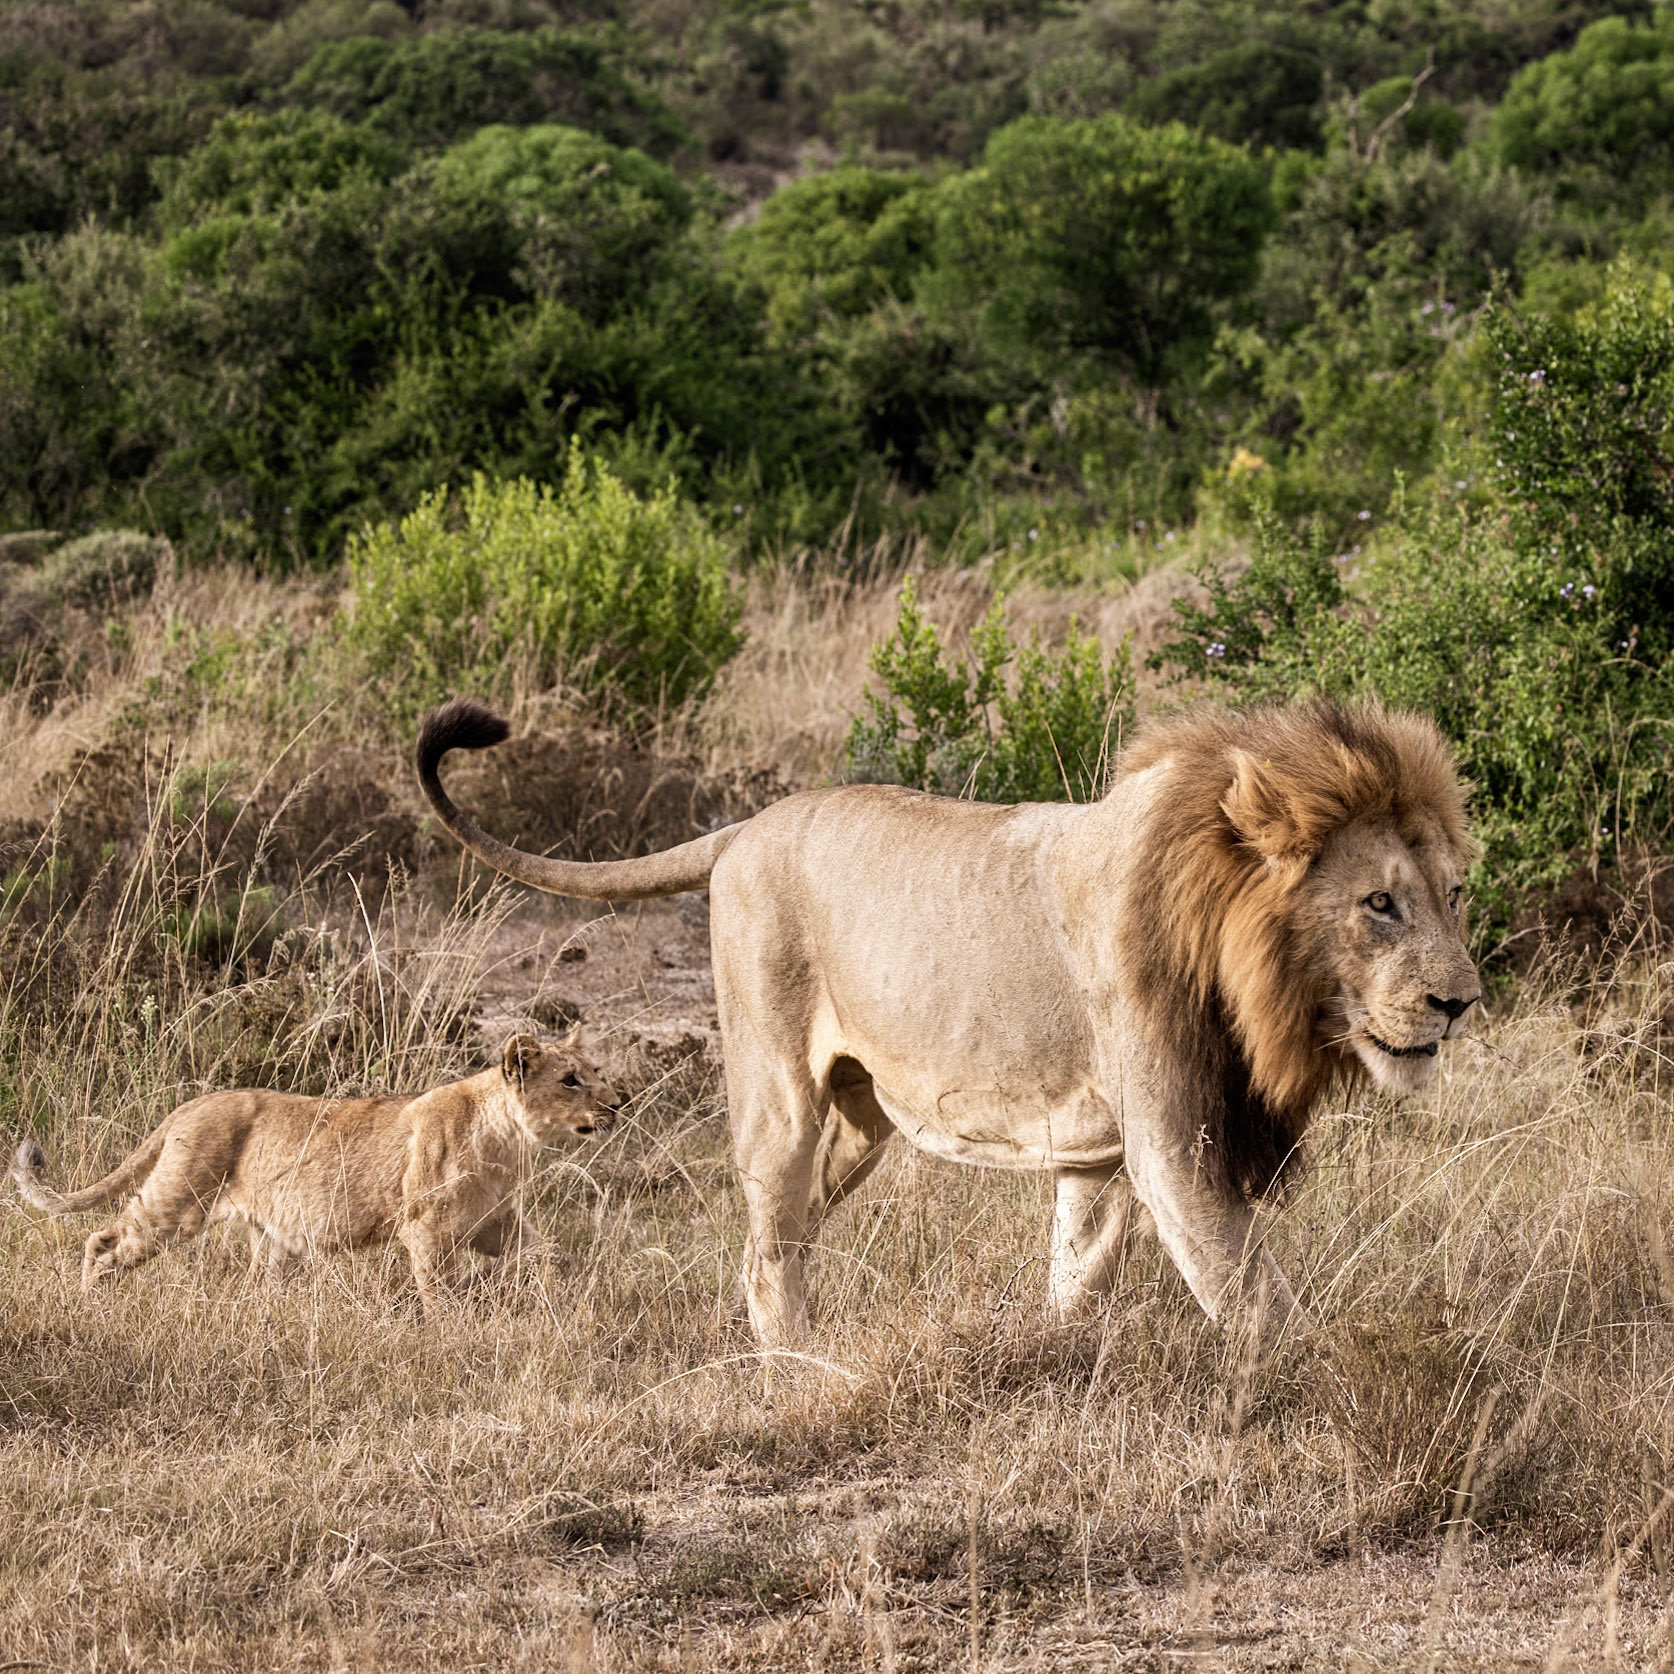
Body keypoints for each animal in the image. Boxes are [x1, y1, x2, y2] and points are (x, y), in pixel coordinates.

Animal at [11, 1031, 618, 1308]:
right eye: (570, 1081)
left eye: (595, 1071)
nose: (619, 1103)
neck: (512, 1143)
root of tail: (187, 1106)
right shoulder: (425, 1229)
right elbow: (438, 1293)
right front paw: (452, 1337)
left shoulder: (495, 1223)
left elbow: (552, 1255)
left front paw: (567, 1295)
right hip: (176, 1204)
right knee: (103, 1239)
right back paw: (88, 1302)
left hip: (266, 1236)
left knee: (257, 1281)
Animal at [415, 696, 1478, 1346]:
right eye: (1380, 904)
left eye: (1453, 894)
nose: (1461, 1002)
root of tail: (748, 825)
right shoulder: (1177, 1148)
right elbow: (1258, 1303)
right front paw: (1333, 1396)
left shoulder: (1099, 1156)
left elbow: (1077, 1274)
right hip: (779, 1094)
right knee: (765, 1252)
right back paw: (799, 1370)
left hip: (859, 1116)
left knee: (791, 1231)